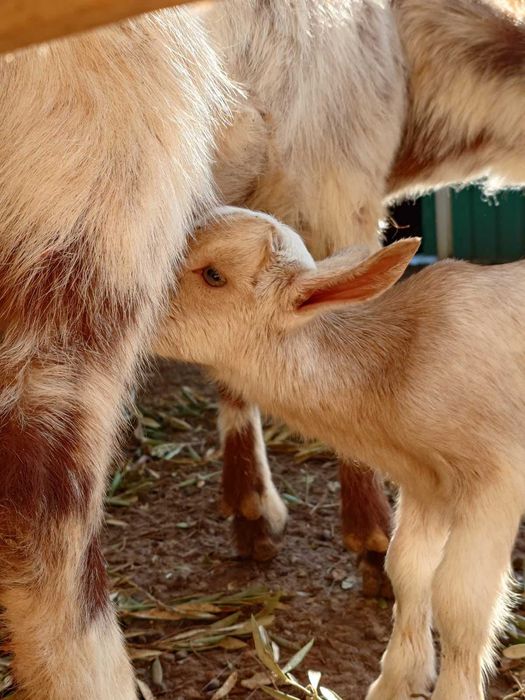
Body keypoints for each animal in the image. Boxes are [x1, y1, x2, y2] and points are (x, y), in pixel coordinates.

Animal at [156, 206, 525, 700]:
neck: (398, 364)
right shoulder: (425, 483)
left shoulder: (497, 482)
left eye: (214, 274)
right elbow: (407, 569)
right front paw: (396, 680)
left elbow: (460, 601)